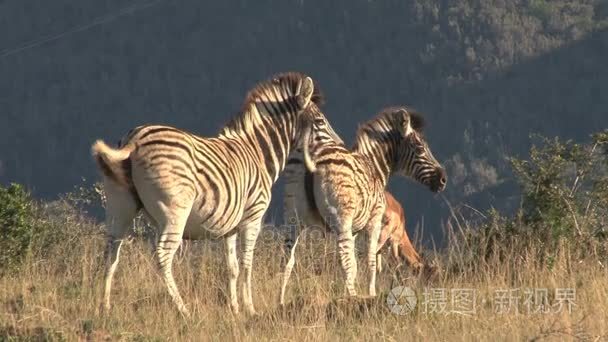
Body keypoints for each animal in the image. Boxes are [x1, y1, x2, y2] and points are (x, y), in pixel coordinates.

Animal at [91, 71, 338, 316]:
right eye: (320, 122)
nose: (340, 146)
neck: (259, 153)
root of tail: (134, 139)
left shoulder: (229, 225)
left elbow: (232, 268)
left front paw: (234, 309)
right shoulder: (253, 216)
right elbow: (247, 264)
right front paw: (250, 309)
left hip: (120, 206)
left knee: (111, 252)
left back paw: (105, 307)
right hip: (174, 212)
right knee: (162, 256)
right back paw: (183, 310)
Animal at [278, 105, 444, 304]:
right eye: (420, 148)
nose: (443, 179)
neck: (374, 166)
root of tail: (313, 154)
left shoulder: (355, 230)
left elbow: (359, 263)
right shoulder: (375, 220)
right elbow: (370, 261)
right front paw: (370, 294)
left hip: (293, 219)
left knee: (287, 261)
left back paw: (280, 301)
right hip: (341, 218)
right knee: (345, 261)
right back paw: (352, 297)